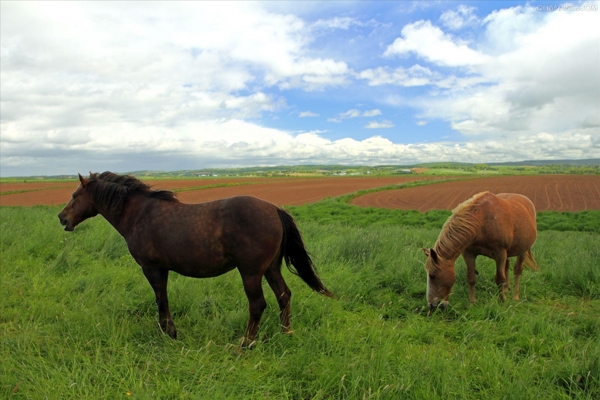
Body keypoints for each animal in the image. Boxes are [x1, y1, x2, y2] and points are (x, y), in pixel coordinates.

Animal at [56, 170, 332, 346]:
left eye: (74, 196)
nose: (62, 218)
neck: (141, 214)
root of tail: (274, 209)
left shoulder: (152, 268)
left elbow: (161, 300)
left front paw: (168, 333)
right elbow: (163, 299)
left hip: (251, 272)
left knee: (257, 305)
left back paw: (245, 344)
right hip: (271, 268)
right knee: (284, 296)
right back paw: (285, 333)